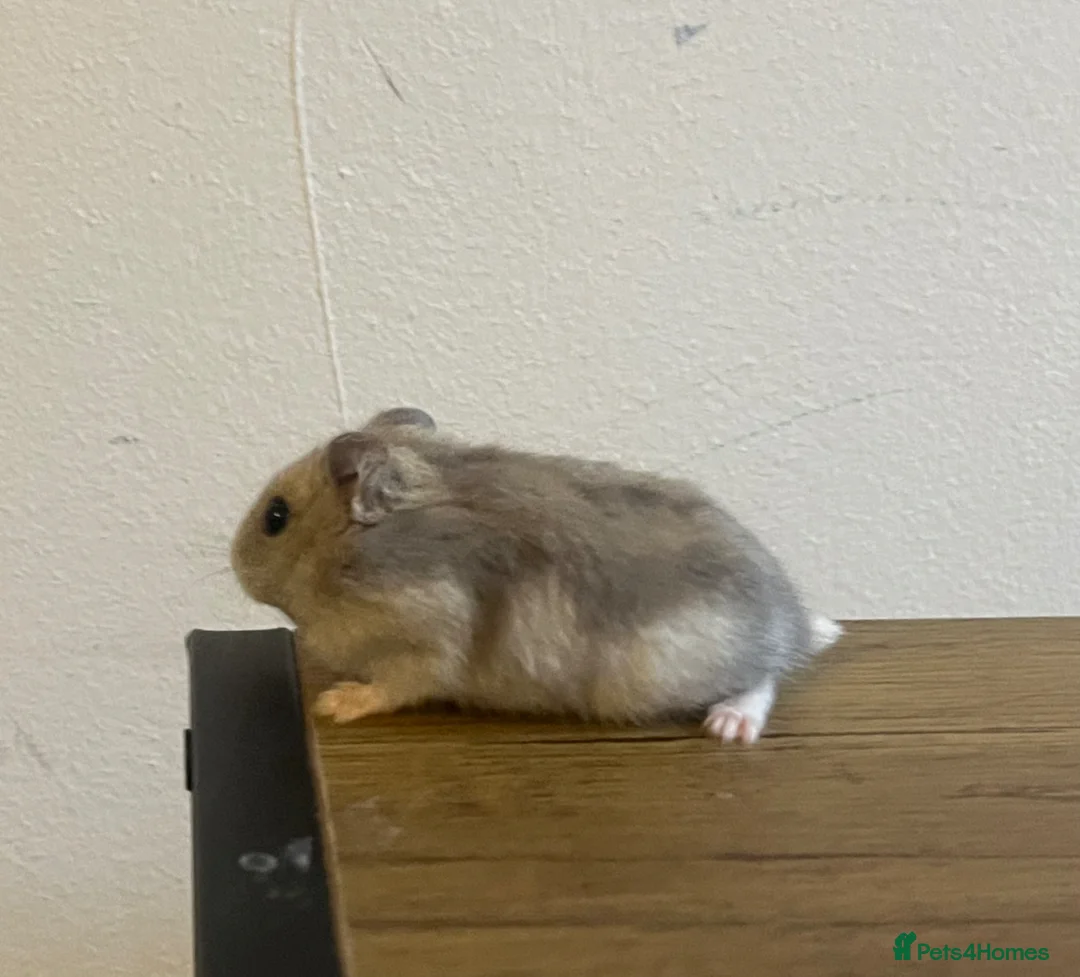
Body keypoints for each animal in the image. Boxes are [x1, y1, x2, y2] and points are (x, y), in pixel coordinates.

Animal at [230, 407, 842, 743]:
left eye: (275, 518)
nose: (235, 566)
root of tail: (793, 621)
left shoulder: (426, 644)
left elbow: (389, 685)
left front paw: (332, 704)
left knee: (765, 676)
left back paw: (729, 724)